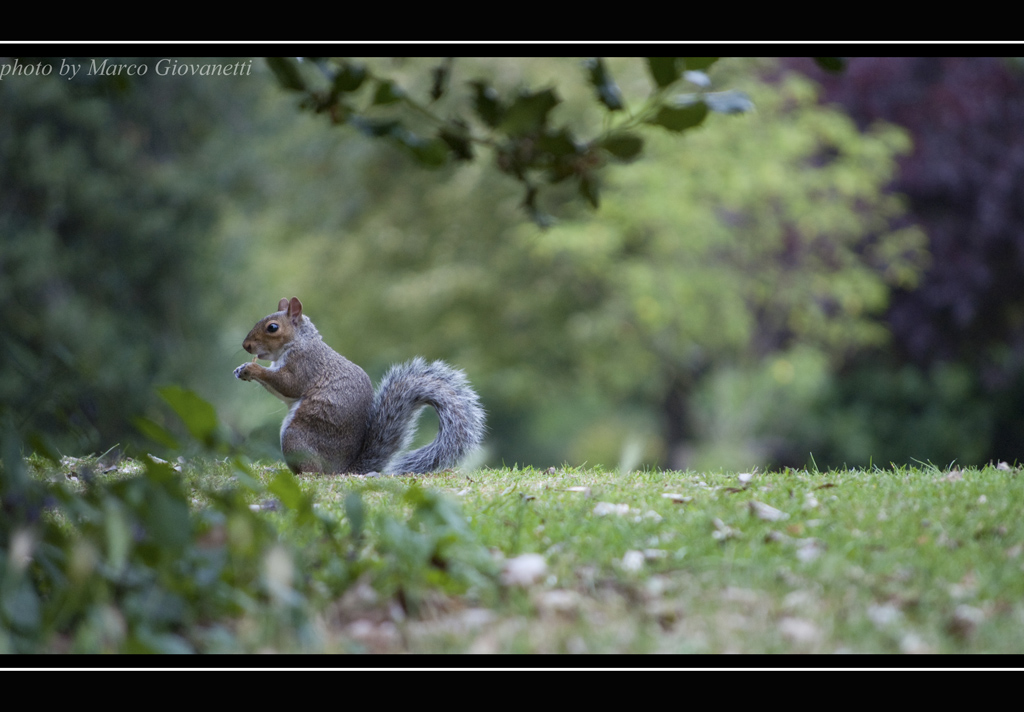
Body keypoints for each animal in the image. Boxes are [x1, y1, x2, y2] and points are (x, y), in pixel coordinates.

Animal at [234, 297, 485, 475]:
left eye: (272, 327)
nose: (246, 346)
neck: (300, 341)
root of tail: (343, 470)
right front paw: (241, 369)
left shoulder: (305, 365)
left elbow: (288, 385)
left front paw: (252, 369)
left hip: (296, 437)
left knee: (314, 473)